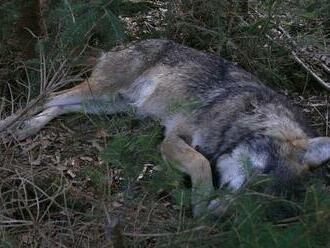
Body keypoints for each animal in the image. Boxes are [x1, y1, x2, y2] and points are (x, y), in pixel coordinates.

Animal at [0, 39, 330, 217]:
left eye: (264, 202)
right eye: (259, 179)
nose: (222, 216)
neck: (243, 118)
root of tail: (128, 43)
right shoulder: (172, 138)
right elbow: (201, 163)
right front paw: (201, 203)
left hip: (112, 104)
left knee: (58, 106)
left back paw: (26, 128)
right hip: (102, 92)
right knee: (46, 96)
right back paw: (9, 125)